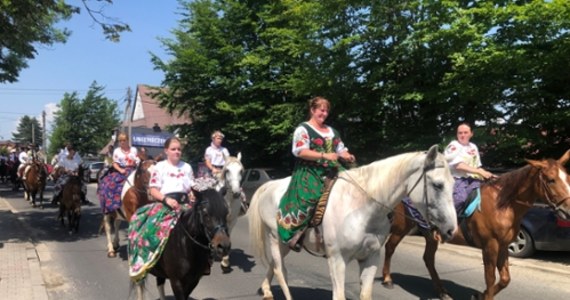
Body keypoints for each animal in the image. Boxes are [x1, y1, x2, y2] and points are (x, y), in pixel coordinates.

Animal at [248, 144, 458, 298]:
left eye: (454, 184)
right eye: (438, 185)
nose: (451, 230)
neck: (363, 209)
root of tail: (269, 185)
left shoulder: (370, 258)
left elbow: (365, 294)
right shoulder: (337, 260)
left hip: (286, 243)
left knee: (274, 265)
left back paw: (266, 290)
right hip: (275, 238)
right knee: (280, 271)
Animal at [380, 151, 570, 298]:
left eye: (567, 177)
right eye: (551, 179)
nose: (567, 210)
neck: (503, 205)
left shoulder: (503, 246)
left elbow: (505, 279)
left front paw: (480, 294)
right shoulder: (490, 246)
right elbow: (490, 278)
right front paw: (485, 294)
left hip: (430, 235)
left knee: (428, 259)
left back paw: (442, 291)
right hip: (401, 227)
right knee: (390, 247)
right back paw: (388, 280)